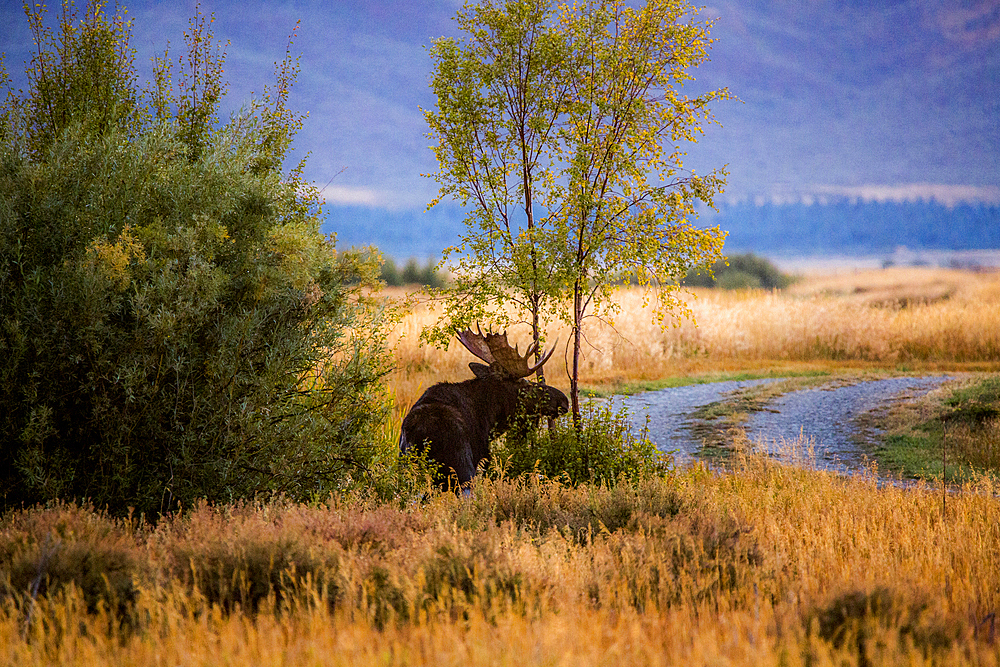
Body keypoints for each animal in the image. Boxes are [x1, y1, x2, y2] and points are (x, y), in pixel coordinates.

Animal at [398, 328, 572, 490]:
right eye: (524, 384)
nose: (564, 400)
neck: (490, 418)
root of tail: (419, 436)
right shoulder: (481, 453)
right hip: (461, 462)